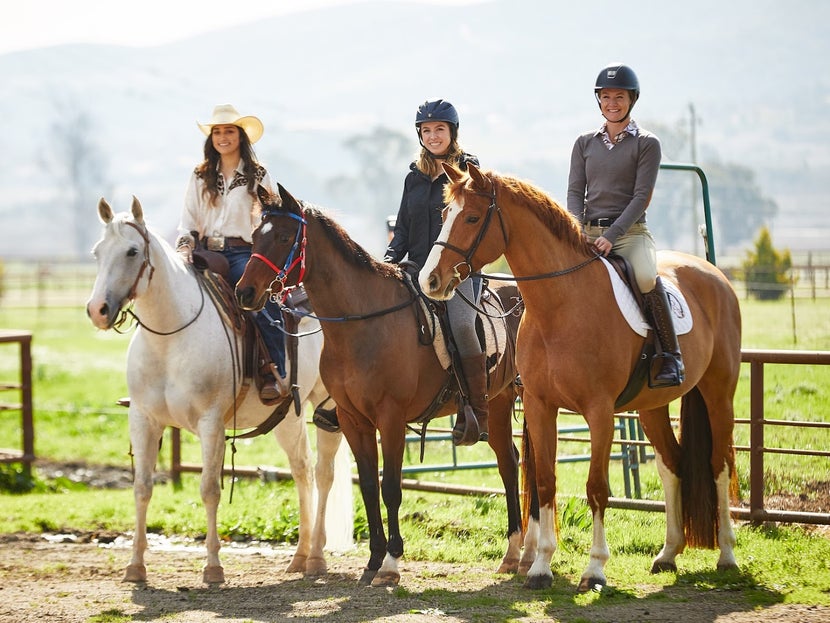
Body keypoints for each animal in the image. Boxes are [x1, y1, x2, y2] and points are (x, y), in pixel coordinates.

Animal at [87, 197, 354, 588]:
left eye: (132, 251)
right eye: (97, 252)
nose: (98, 310)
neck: (170, 337)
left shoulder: (210, 423)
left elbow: (209, 489)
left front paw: (213, 567)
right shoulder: (143, 419)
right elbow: (142, 488)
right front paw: (135, 567)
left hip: (326, 407)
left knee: (323, 473)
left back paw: (317, 558)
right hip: (288, 416)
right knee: (302, 470)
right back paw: (299, 557)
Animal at [234, 186, 536, 588]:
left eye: (284, 237)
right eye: (255, 236)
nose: (245, 292)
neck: (362, 323)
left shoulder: (390, 420)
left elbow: (391, 487)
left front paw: (391, 564)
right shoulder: (353, 420)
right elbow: (367, 486)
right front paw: (373, 560)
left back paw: (529, 554)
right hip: (500, 403)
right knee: (509, 464)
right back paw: (513, 554)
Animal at [420, 163, 744, 592]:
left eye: (472, 217)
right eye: (444, 214)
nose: (430, 280)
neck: (561, 304)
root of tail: (714, 273)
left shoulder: (600, 412)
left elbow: (597, 488)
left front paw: (594, 570)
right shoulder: (541, 405)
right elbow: (545, 481)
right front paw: (540, 568)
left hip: (718, 393)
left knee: (719, 463)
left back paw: (727, 555)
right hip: (651, 406)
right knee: (672, 463)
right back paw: (668, 554)